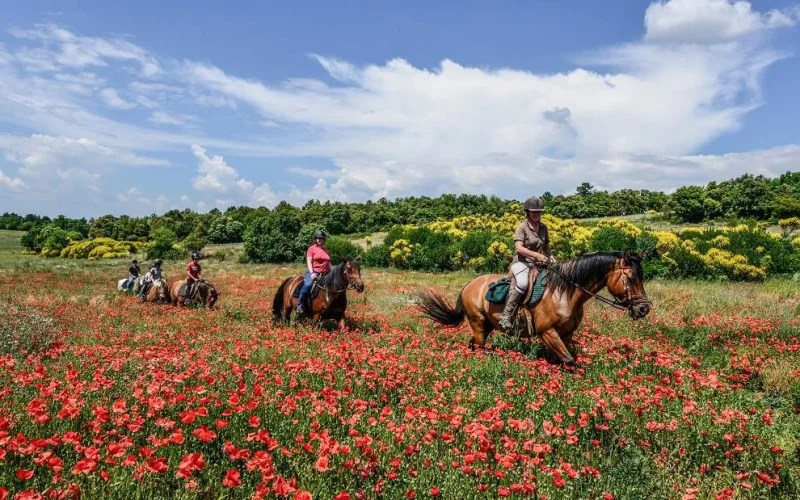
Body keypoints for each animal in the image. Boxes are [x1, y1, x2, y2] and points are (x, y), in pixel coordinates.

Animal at [416, 252, 652, 366]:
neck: (565, 293)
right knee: (479, 347)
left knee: (473, 345)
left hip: (486, 325)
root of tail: (469, 285)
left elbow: (560, 361)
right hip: (478, 323)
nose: (644, 309)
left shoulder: (566, 333)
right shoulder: (547, 332)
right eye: (631, 278)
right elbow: (569, 361)